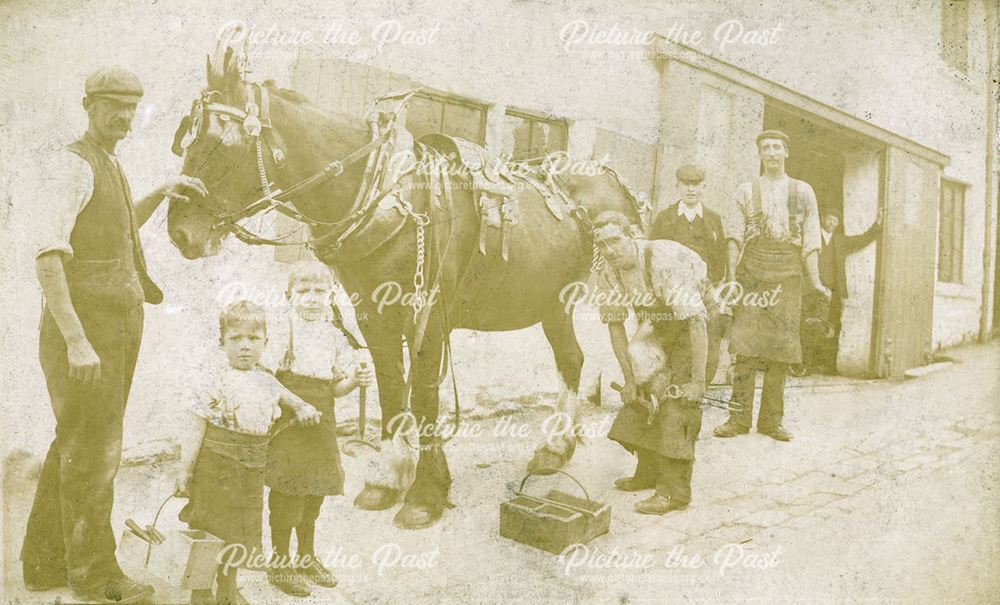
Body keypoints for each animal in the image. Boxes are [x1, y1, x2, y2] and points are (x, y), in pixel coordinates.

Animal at [168, 30, 644, 528]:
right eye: (185, 137)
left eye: (222, 142)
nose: (179, 231)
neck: (390, 198)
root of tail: (613, 180)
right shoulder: (373, 314)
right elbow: (392, 388)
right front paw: (388, 478)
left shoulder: (428, 318)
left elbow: (424, 395)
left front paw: (426, 493)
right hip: (554, 301)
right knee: (571, 359)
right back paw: (556, 448)